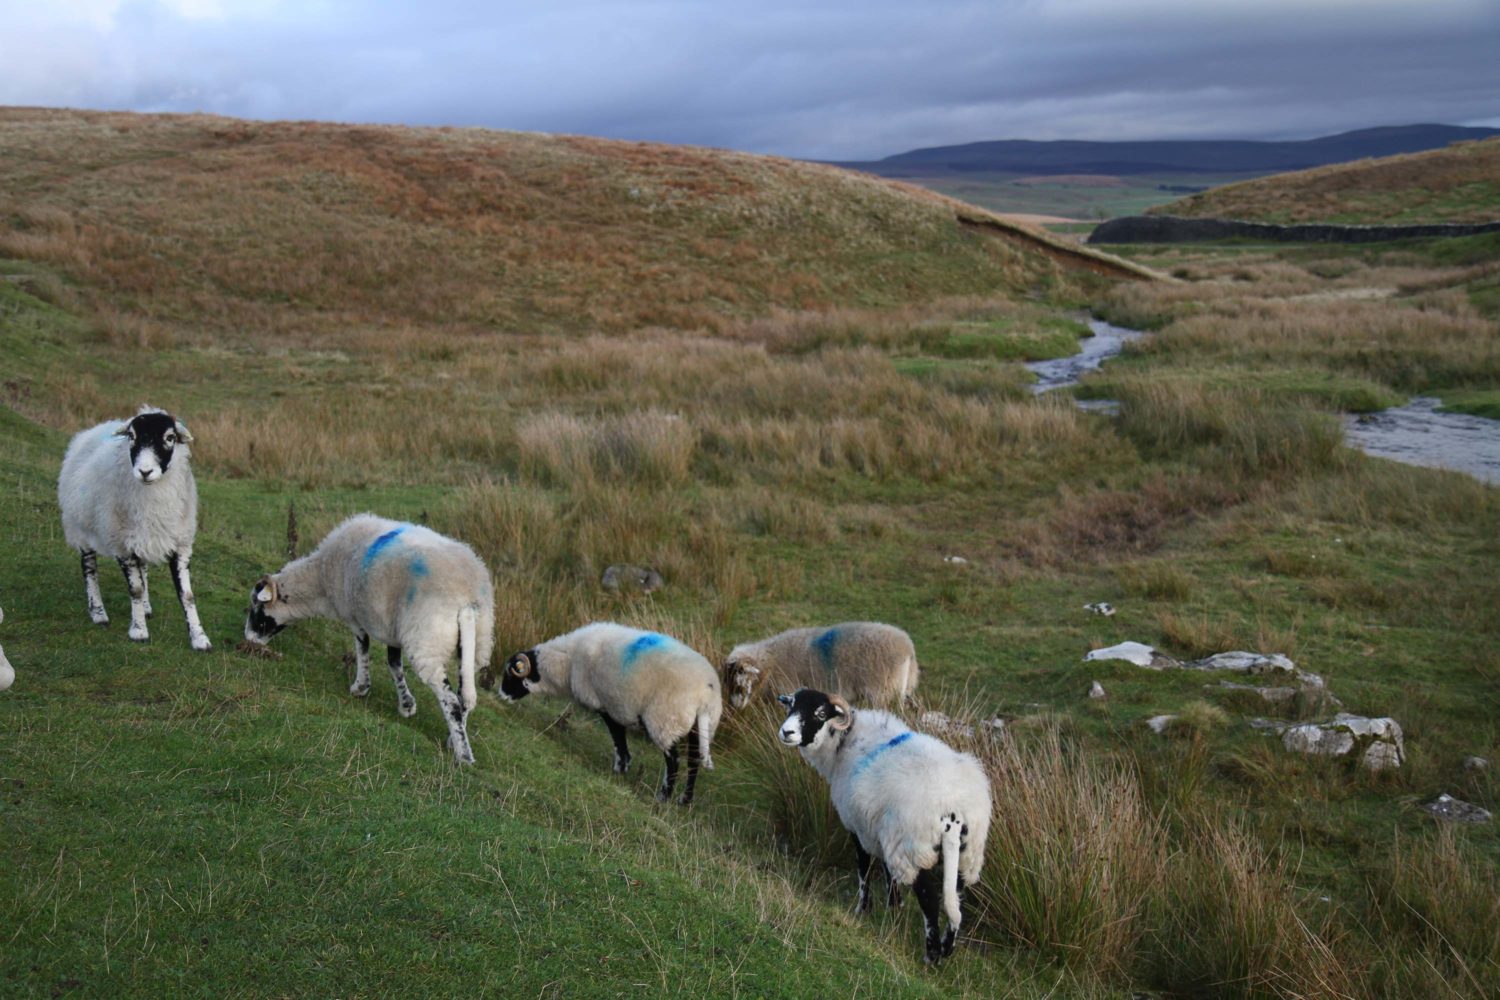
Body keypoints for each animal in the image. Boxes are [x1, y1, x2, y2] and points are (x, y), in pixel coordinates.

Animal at [56, 401, 211, 653]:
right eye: (131, 436)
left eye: (169, 437)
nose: (145, 471)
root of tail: (94, 429)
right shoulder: (122, 544)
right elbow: (135, 589)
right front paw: (138, 631)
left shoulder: (180, 542)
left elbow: (187, 595)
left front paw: (199, 638)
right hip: (81, 527)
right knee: (89, 568)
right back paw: (98, 612)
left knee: (143, 568)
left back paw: (145, 608)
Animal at [243, 515, 495, 767]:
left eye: (257, 606)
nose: (249, 640)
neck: (320, 579)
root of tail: (467, 597)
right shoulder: (393, 627)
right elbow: (394, 663)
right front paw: (406, 704)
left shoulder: (354, 616)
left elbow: (362, 648)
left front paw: (360, 687)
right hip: (476, 644)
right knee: (465, 696)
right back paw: (455, 738)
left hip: (428, 641)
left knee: (451, 700)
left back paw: (464, 755)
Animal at [498, 620, 720, 809]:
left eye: (510, 675)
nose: (500, 696)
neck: (567, 662)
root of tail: (705, 694)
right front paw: (623, 766)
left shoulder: (606, 704)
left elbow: (617, 736)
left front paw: (621, 766)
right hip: (698, 728)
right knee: (693, 761)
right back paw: (684, 800)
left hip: (665, 721)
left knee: (674, 761)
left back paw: (664, 796)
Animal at [780, 692, 990, 965]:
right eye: (791, 706)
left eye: (821, 713)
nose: (786, 732)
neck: (843, 744)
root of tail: (951, 811)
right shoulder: (881, 831)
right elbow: (888, 873)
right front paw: (894, 906)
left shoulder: (860, 827)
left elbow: (865, 869)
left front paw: (863, 909)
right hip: (967, 852)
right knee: (957, 898)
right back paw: (946, 947)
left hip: (914, 848)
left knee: (930, 900)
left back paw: (931, 955)